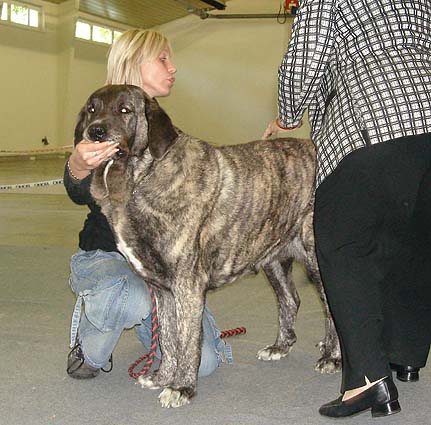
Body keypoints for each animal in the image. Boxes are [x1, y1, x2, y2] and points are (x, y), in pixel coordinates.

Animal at [76, 84, 342, 406]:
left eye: (125, 110)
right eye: (92, 109)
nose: (95, 131)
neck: (145, 177)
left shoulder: (187, 287)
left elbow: (186, 340)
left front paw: (181, 387)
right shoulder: (163, 291)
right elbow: (167, 338)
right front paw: (162, 376)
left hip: (317, 259)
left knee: (331, 308)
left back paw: (332, 356)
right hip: (274, 259)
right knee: (291, 299)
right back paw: (280, 347)